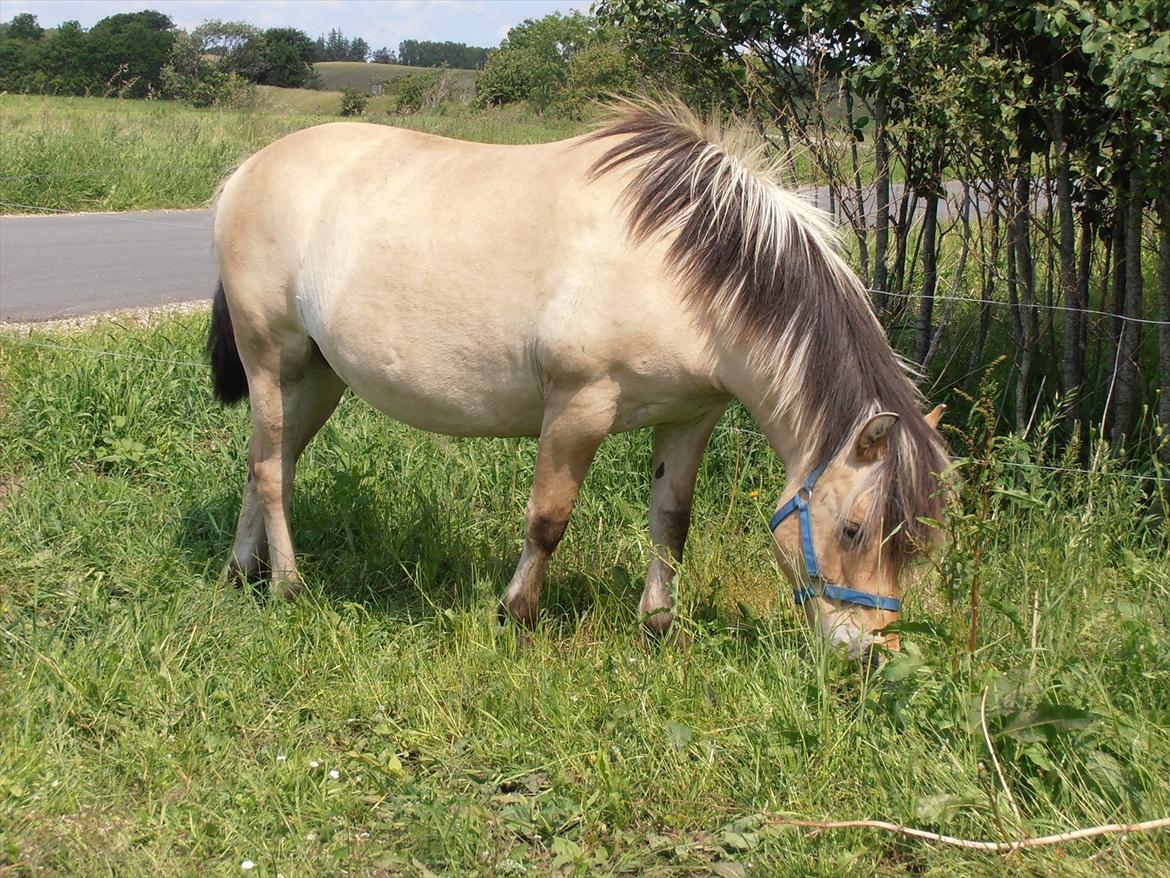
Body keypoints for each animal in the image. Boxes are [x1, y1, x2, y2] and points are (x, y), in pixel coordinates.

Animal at [203, 97, 950, 660]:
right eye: (853, 530)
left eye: (915, 543)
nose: (870, 654)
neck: (682, 262)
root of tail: (247, 171)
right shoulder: (579, 406)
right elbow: (548, 520)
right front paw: (516, 616)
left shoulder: (691, 416)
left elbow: (671, 522)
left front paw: (657, 628)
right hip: (270, 358)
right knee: (270, 469)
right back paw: (288, 587)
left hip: (316, 376)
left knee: (267, 460)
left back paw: (241, 572)